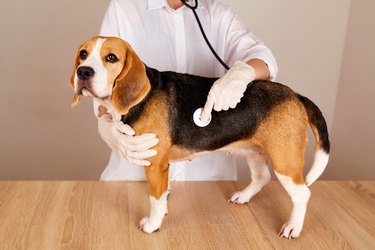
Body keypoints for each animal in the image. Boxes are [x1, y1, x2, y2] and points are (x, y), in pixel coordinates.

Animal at [70, 35, 328, 238]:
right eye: (83, 54)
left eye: (111, 58)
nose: (83, 72)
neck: (141, 98)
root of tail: (296, 95)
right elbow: (163, 194)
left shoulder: (155, 165)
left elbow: (155, 198)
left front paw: (153, 224)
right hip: (254, 152)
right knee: (261, 178)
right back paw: (243, 197)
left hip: (285, 162)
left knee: (302, 193)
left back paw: (293, 227)